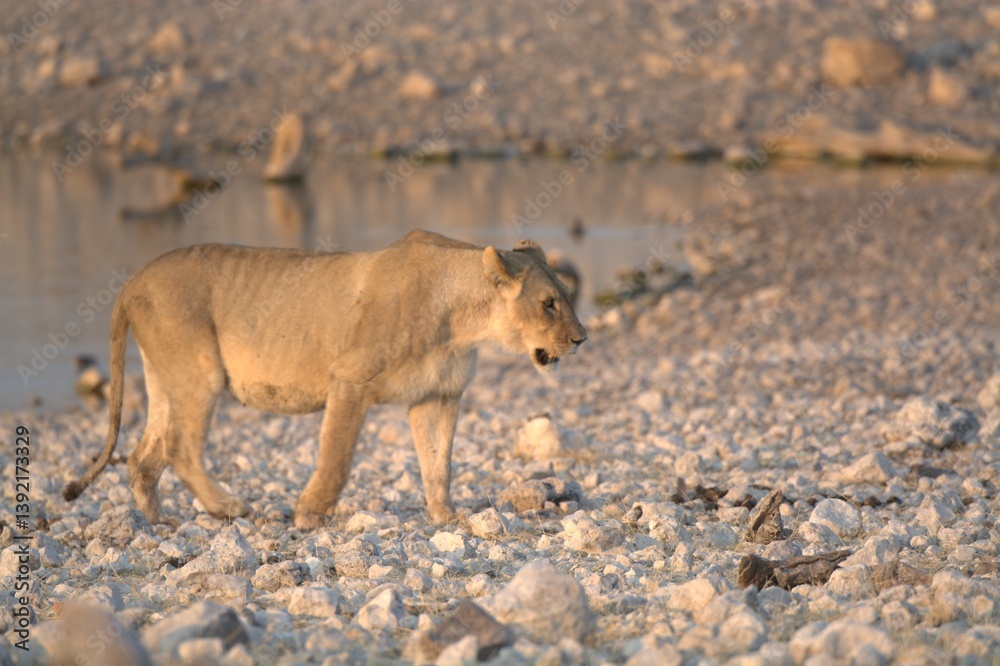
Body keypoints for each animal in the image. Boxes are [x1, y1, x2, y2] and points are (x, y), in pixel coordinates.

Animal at [64, 231, 587, 529]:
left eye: (566, 296)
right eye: (548, 303)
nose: (582, 338)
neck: (462, 322)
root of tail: (131, 282)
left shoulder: (437, 396)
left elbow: (438, 464)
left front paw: (446, 516)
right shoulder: (349, 379)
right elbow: (337, 458)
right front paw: (310, 515)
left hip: (163, 377)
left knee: (142, 457)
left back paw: (160, 523)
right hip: (200, 371)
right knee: (179, 449)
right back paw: (230, 509)